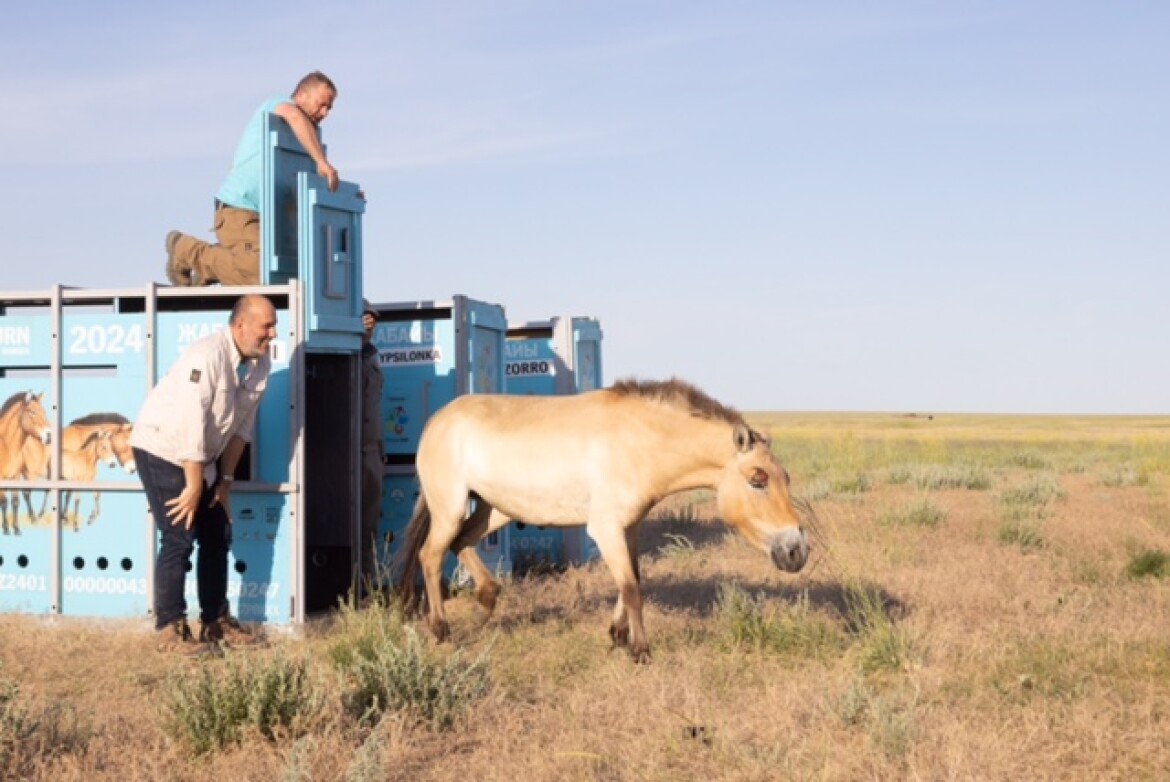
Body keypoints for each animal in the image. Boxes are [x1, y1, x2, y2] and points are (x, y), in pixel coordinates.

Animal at [0, 393, 52, 533]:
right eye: (32, 412)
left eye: (44, 412)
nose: (49, 436)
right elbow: (4, 502)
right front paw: (6, 528)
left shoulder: (15, 476)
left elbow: (15, 501)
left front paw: (16, 528)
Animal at [397, 376, 809, 660]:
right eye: (758, 479)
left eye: (786, 478)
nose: (797, 551)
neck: (636, 441)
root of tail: (437, 420)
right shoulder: (606, 528)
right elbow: (631, 587)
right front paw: (640, 650)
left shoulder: (629, 528)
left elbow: (633, 580)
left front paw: (618, 635)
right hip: (450, 508)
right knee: (431, 556)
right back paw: (441, 629)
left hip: (492, 509)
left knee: (461, 542)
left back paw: (486, 599)